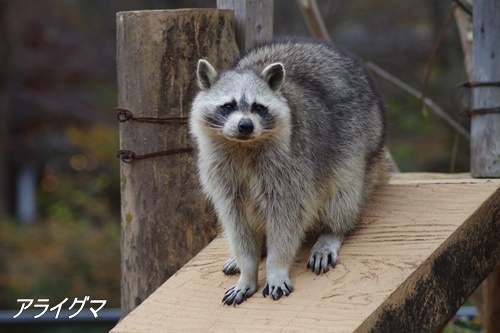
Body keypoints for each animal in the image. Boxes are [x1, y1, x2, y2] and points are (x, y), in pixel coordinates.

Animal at [189, 37, 388, 304]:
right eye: (228, 105)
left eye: (258, 107)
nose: (245, 125)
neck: (244, 146)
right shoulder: (221, 178)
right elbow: (237, 226)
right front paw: (247, 271)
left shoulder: (292, 170)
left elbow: (287, 221)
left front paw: (276, 267)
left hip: (360, 147)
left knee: (343, 195)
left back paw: (333, 230)